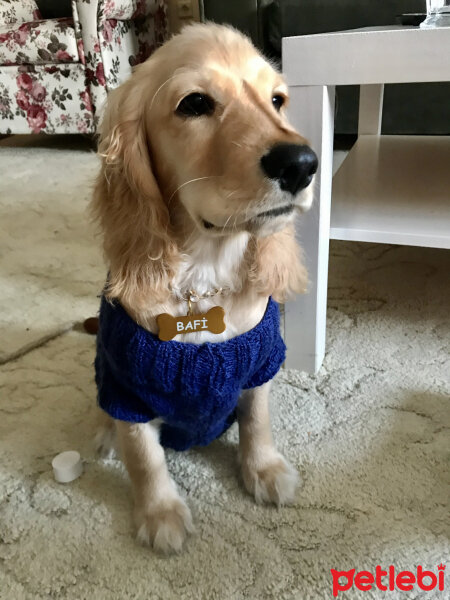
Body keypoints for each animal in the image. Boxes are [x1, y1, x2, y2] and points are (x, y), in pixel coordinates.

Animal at [91, 21, 316, 552]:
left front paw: (263, 470)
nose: (302, 163)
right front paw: (160, 514)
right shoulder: (127, 389)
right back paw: (104, 436)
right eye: (194, 103)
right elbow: (143, 455)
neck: (204, 277)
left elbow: (256, 420)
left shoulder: (257, 365)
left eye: (277, 100)